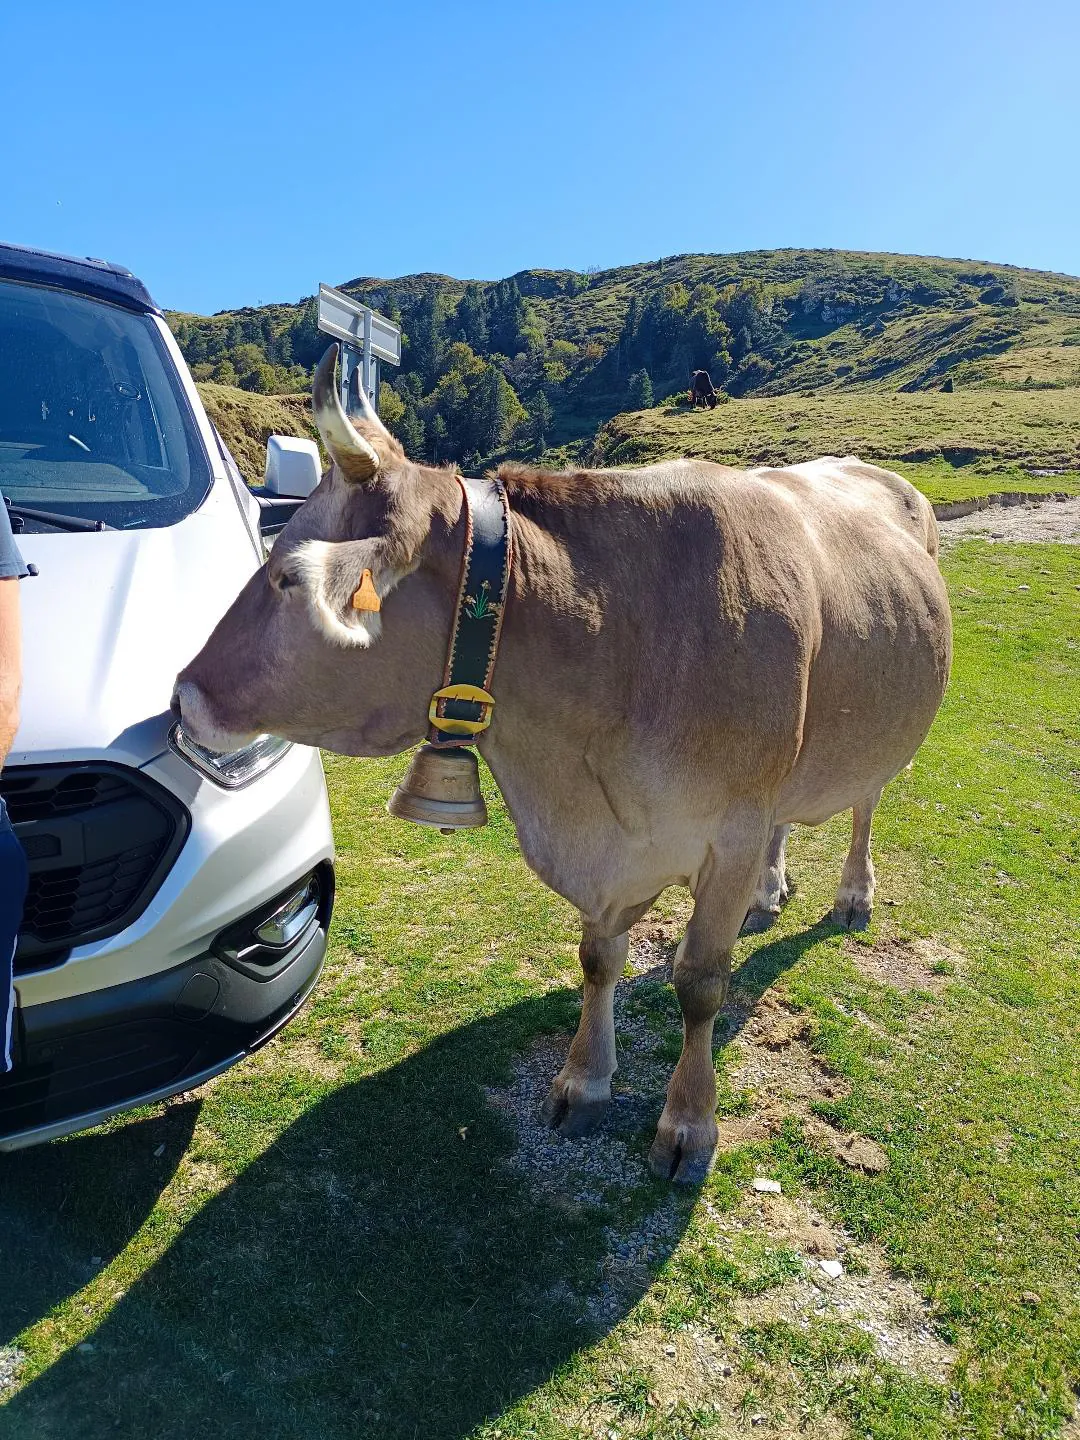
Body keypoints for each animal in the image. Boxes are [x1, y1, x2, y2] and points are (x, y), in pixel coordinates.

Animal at [175, 347, 952, 1184]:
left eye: (286, 576)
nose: (183, 695)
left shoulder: (733, 827)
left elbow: (701, 985)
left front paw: (689, 1122)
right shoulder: (622, 847)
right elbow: (597, 959)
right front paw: (584, 1081)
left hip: (875, 739)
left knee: (866, 804)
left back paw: (852, 893)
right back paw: (768, 890)